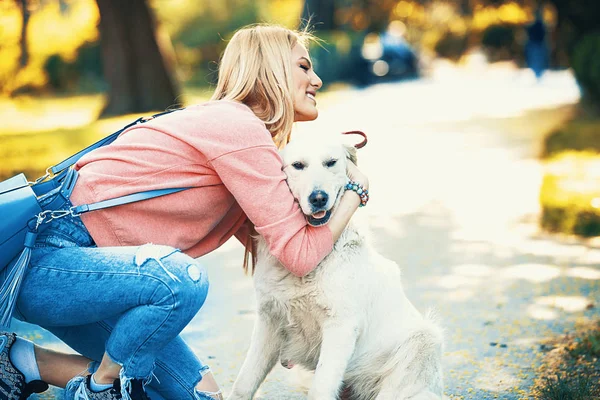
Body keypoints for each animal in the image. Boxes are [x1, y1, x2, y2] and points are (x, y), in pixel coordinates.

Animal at [227, 133, 442, 398]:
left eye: (331, 163)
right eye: (298, 165)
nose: (319, 198)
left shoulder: (341, 326)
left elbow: (320, 389)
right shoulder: (269, 319)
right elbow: (243, 383)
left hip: (425, 337)